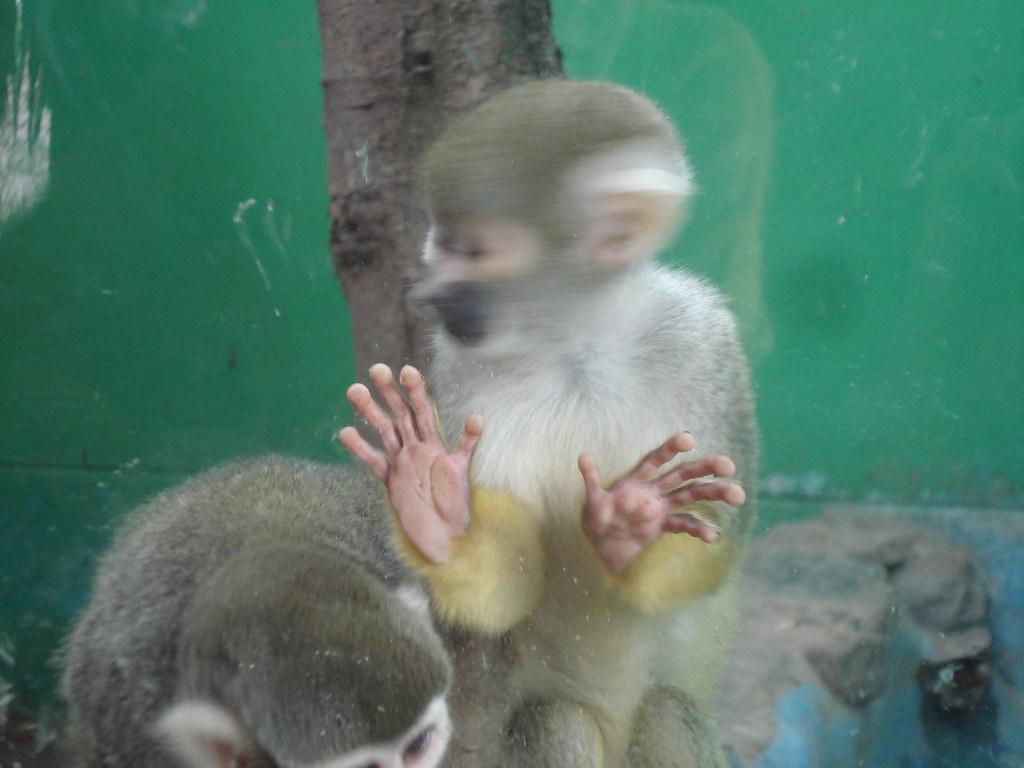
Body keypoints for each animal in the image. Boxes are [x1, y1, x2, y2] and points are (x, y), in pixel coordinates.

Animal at [339, 80, 758, 768]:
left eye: (471, 250)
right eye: (441, 242)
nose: (431, 295)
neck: (575, 342)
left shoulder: (705, 340)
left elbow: (721, 537)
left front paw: (630, 525)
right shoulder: (459, 369)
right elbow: (508, 586)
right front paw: (434, 503)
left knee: (667, 714)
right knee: (554, 721)